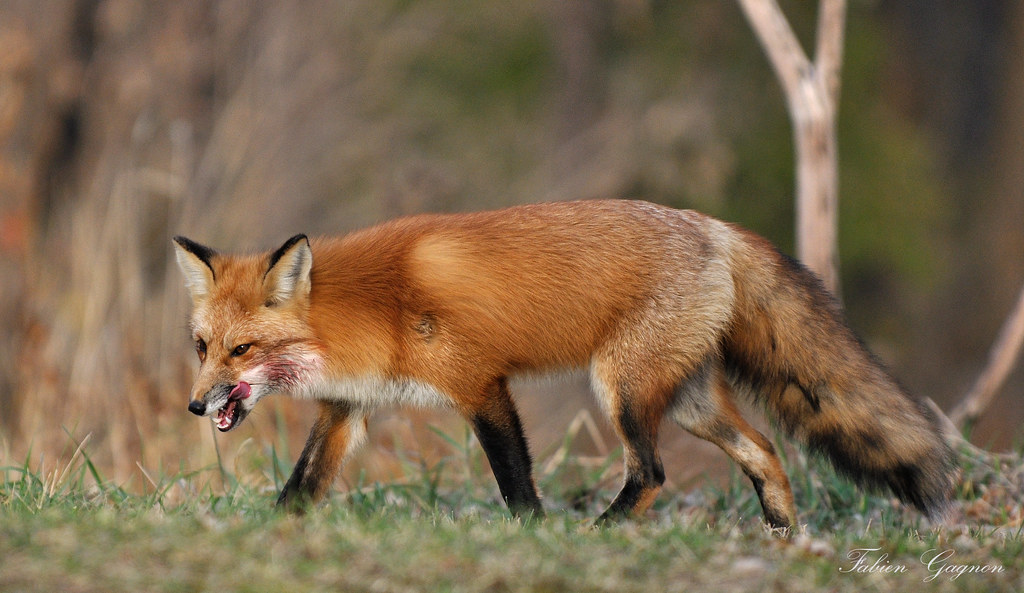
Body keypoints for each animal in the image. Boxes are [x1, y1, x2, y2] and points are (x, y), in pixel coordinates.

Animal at [173, 199, 956, 528]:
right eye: (203, 346)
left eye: (243, 349)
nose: (195, 405)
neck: (366, 309)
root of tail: (712, 226)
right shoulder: (351, 408)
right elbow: (301, 485)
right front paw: (270, 532)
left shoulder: (481, 384)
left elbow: (516, 480)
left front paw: (533, 534)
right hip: (690, 399)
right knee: (765, 452)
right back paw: (784, 539)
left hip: (622, 390)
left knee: (653, 472)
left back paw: (600, 530)